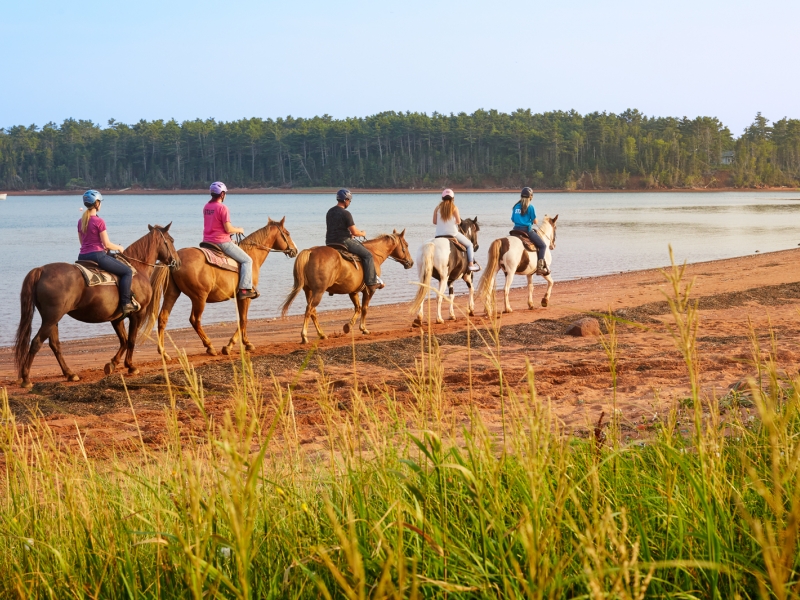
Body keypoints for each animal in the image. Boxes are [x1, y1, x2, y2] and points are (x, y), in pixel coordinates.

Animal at [14, 223, 180, 386]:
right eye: (171, 240)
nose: (177, 262)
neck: (136, 269)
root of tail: (41, 270)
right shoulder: (137, 314)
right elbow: (131, 340)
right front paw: (131, 366)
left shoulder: (117, 318)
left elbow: (124, 340)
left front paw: (112, 364)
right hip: (51, 318)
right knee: (36, 342)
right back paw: (26, 378)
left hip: (52, 319)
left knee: (55, 345)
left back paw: (70, 374)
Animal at [155, 220, 296, 360]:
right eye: (287, 233)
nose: (294, 250)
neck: (252, 254)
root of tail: (175, 259)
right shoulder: (246, 297)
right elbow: (243, 320)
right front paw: (233, 345)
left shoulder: (239, 298)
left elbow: (241, 319)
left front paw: (243, 343)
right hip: (199, 297)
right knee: (195, 320)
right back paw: (210, 346)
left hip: (172, 293)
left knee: (162, 318)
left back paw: (164, 353)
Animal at [280, 230, 412, 342]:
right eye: (406, 245)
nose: (411, 262)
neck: (374, 254)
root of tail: (311, 251)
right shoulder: (369, 290)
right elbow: (365, 308)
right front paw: (364, 329)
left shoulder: (353, 292)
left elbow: (358, 308)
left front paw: (348, 326)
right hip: (319, 291)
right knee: (309, 310)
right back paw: (304, 336)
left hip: (308, 291)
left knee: (313, 312)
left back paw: (322, 334)